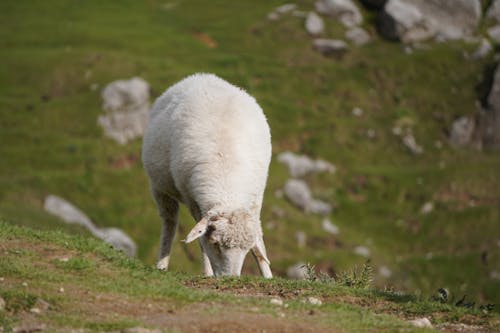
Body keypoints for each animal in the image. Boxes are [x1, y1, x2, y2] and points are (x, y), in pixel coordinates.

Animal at [141, 72, 274, 278]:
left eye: (245, 249)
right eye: (215, 244)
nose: (230, 279)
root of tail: (202, 76)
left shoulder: (255, 201)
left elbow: (260, 243)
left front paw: (268, 275)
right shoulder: (192, 199)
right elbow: (202, 242)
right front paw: (208, 272)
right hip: (159, 187)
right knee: (170, 222)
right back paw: (162, 264)